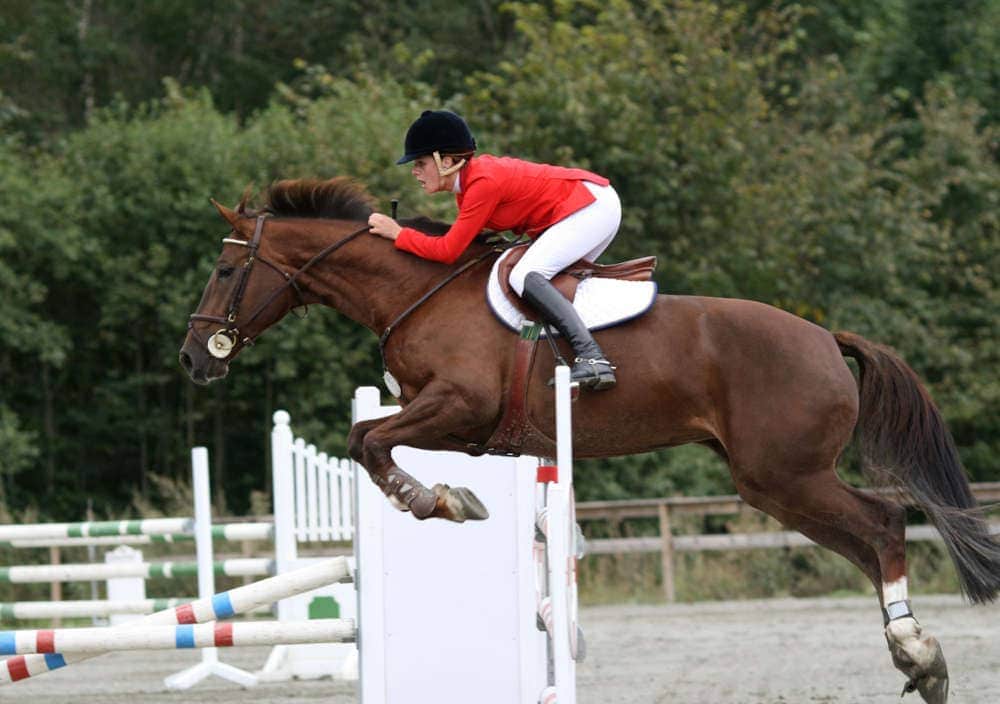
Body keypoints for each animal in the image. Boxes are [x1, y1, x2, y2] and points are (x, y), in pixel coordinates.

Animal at [179, 177, 999, 703]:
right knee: (867, 541)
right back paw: (917, 658)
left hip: (784, 474)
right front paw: (446, 495)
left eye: (223, 268)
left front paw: (437, 500)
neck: (416, 291)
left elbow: (366, 441)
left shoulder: (457, 404)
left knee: (884, 523)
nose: (193, 359)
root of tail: (826, 338)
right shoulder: (449, 419)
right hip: (776, 484)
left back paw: (919, 655)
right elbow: (369, 436)